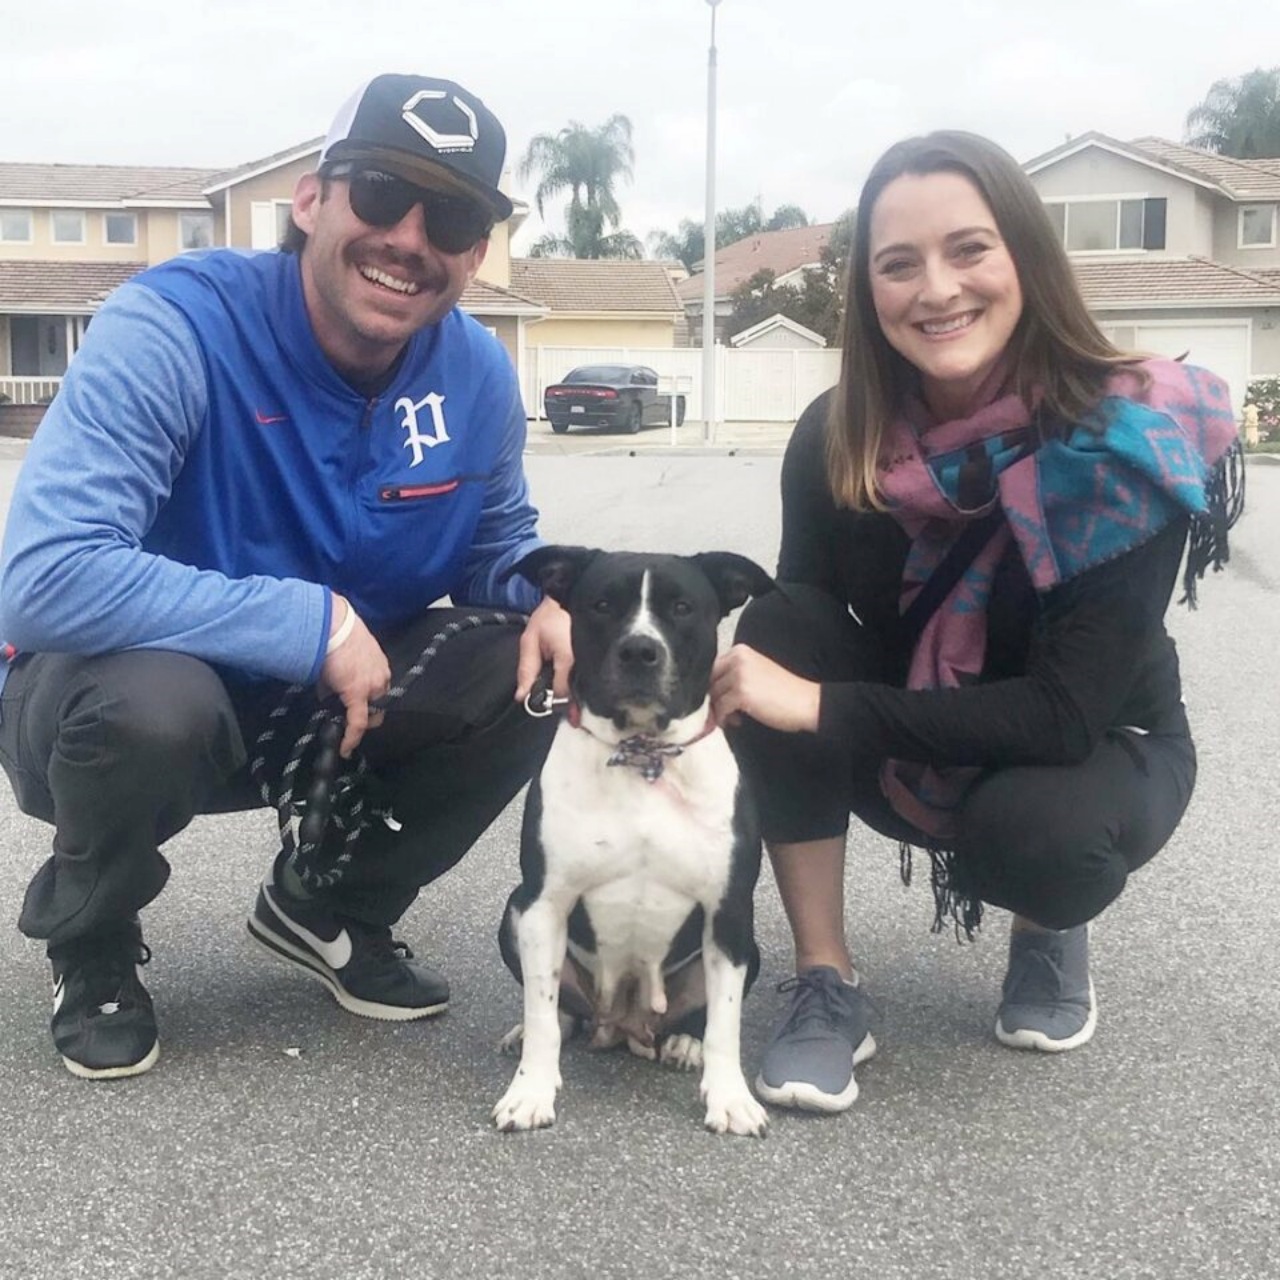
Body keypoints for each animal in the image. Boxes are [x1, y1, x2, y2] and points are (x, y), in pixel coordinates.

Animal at [488, 545, 768, 1136]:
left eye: (682, 607)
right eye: (601, 605)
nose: (640, 650)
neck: (643, 755)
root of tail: (623, 1023)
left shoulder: (729, 912)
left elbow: (725, 1023)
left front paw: (729, 1097)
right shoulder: (543, 905)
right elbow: (543, 1012)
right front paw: (530, 1091)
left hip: (744, 949)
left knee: (697, 1016)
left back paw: (683, 1044)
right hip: (514, 914)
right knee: (558, 1008)